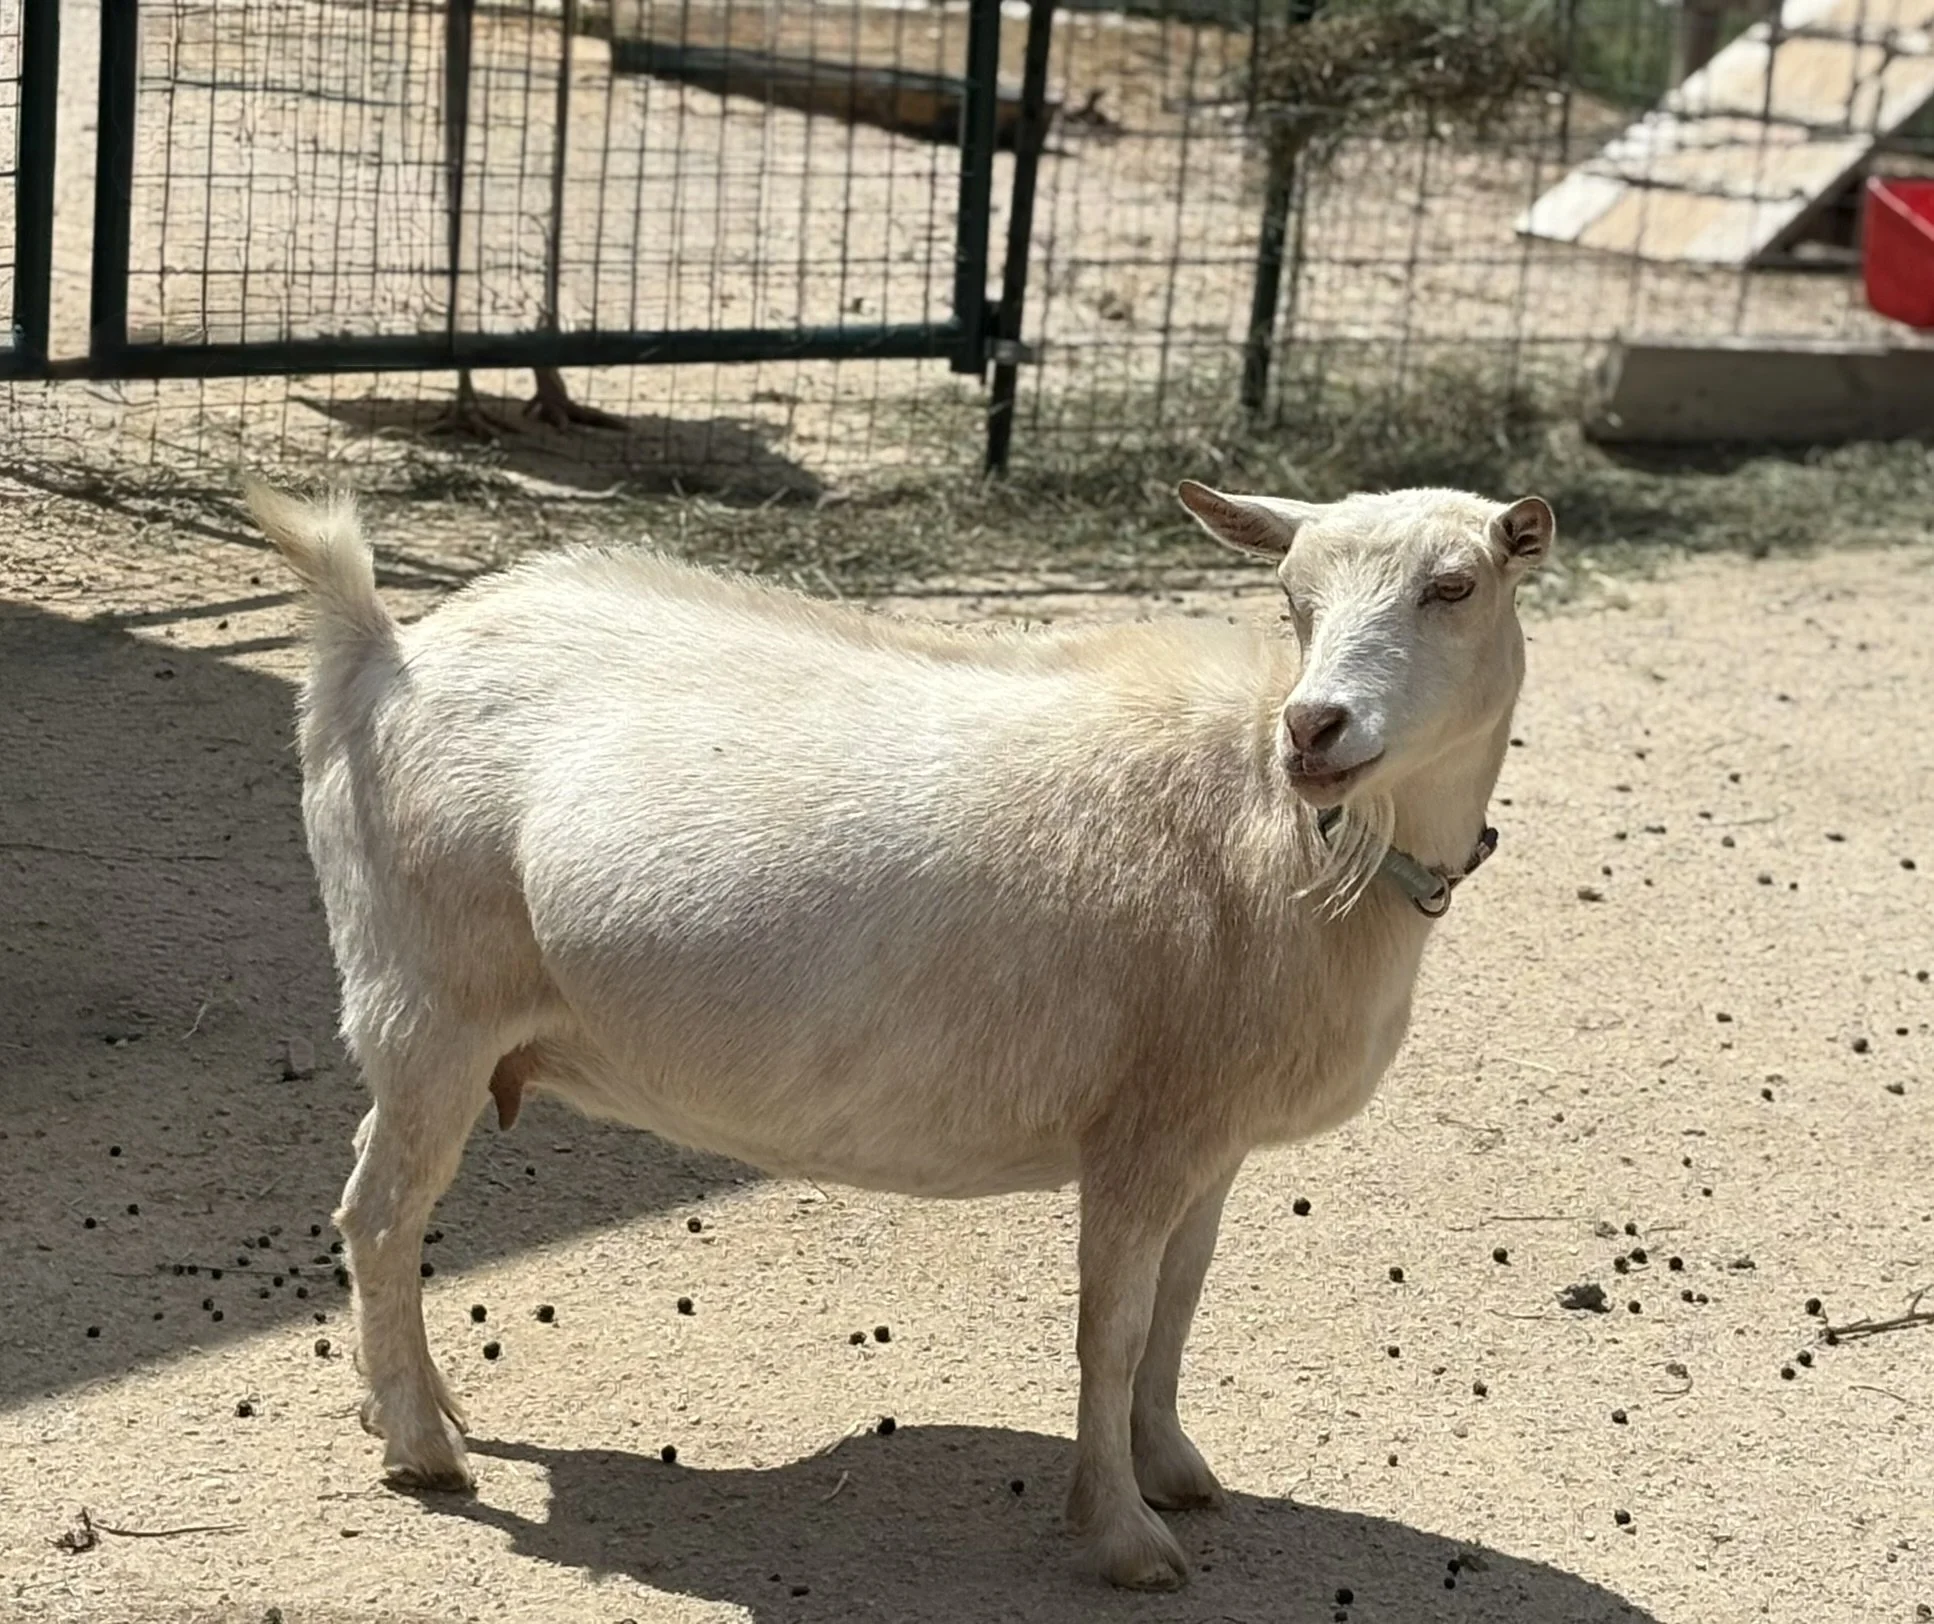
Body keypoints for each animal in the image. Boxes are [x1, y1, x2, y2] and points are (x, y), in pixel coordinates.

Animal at [244, 475, 1552, 1590]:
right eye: (1291, 599)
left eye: (1454, 587)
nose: (1313, 729)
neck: (1293, 837)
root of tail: (381, 646)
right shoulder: (1139, 1128)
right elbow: (1113, 1328)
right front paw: (1123, 1536)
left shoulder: (1208, 1134)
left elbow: (1177, 1312)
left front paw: (1173, 1468)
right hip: (427, 1001)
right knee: (378, 1215)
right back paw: (422, 1445)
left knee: (384, 1214)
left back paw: (405, 1401)